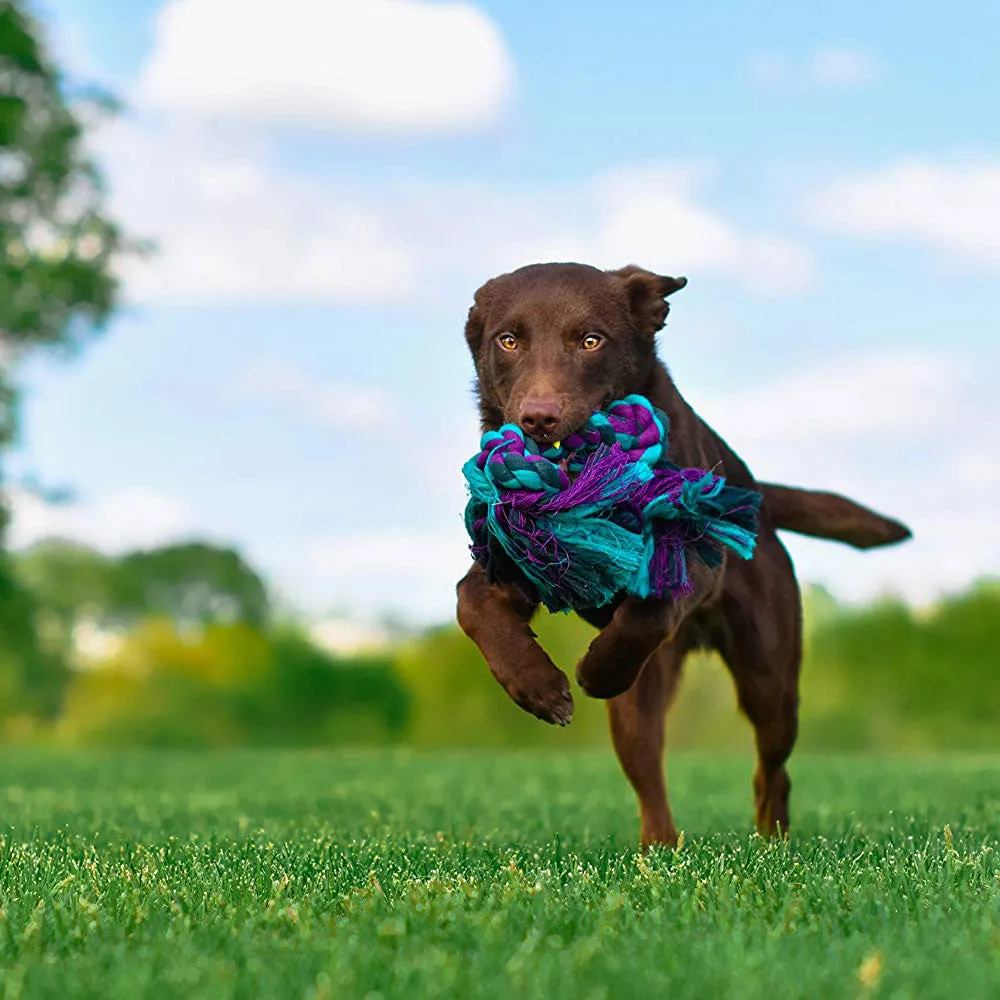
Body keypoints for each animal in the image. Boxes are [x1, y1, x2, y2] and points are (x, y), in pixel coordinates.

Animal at [458, 264, 912, 844]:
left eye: (591, 341)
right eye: (509, 341)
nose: (539, 418)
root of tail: (759, 498)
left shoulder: (692, 563)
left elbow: (650, 610)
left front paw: (593, 673)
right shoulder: (513, 559)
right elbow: (471, 605)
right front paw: (537, 688)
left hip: (770, 681)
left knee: (773, 768)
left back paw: (772, 839)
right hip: (643, 705)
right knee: (650, 775)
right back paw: (659, 849)